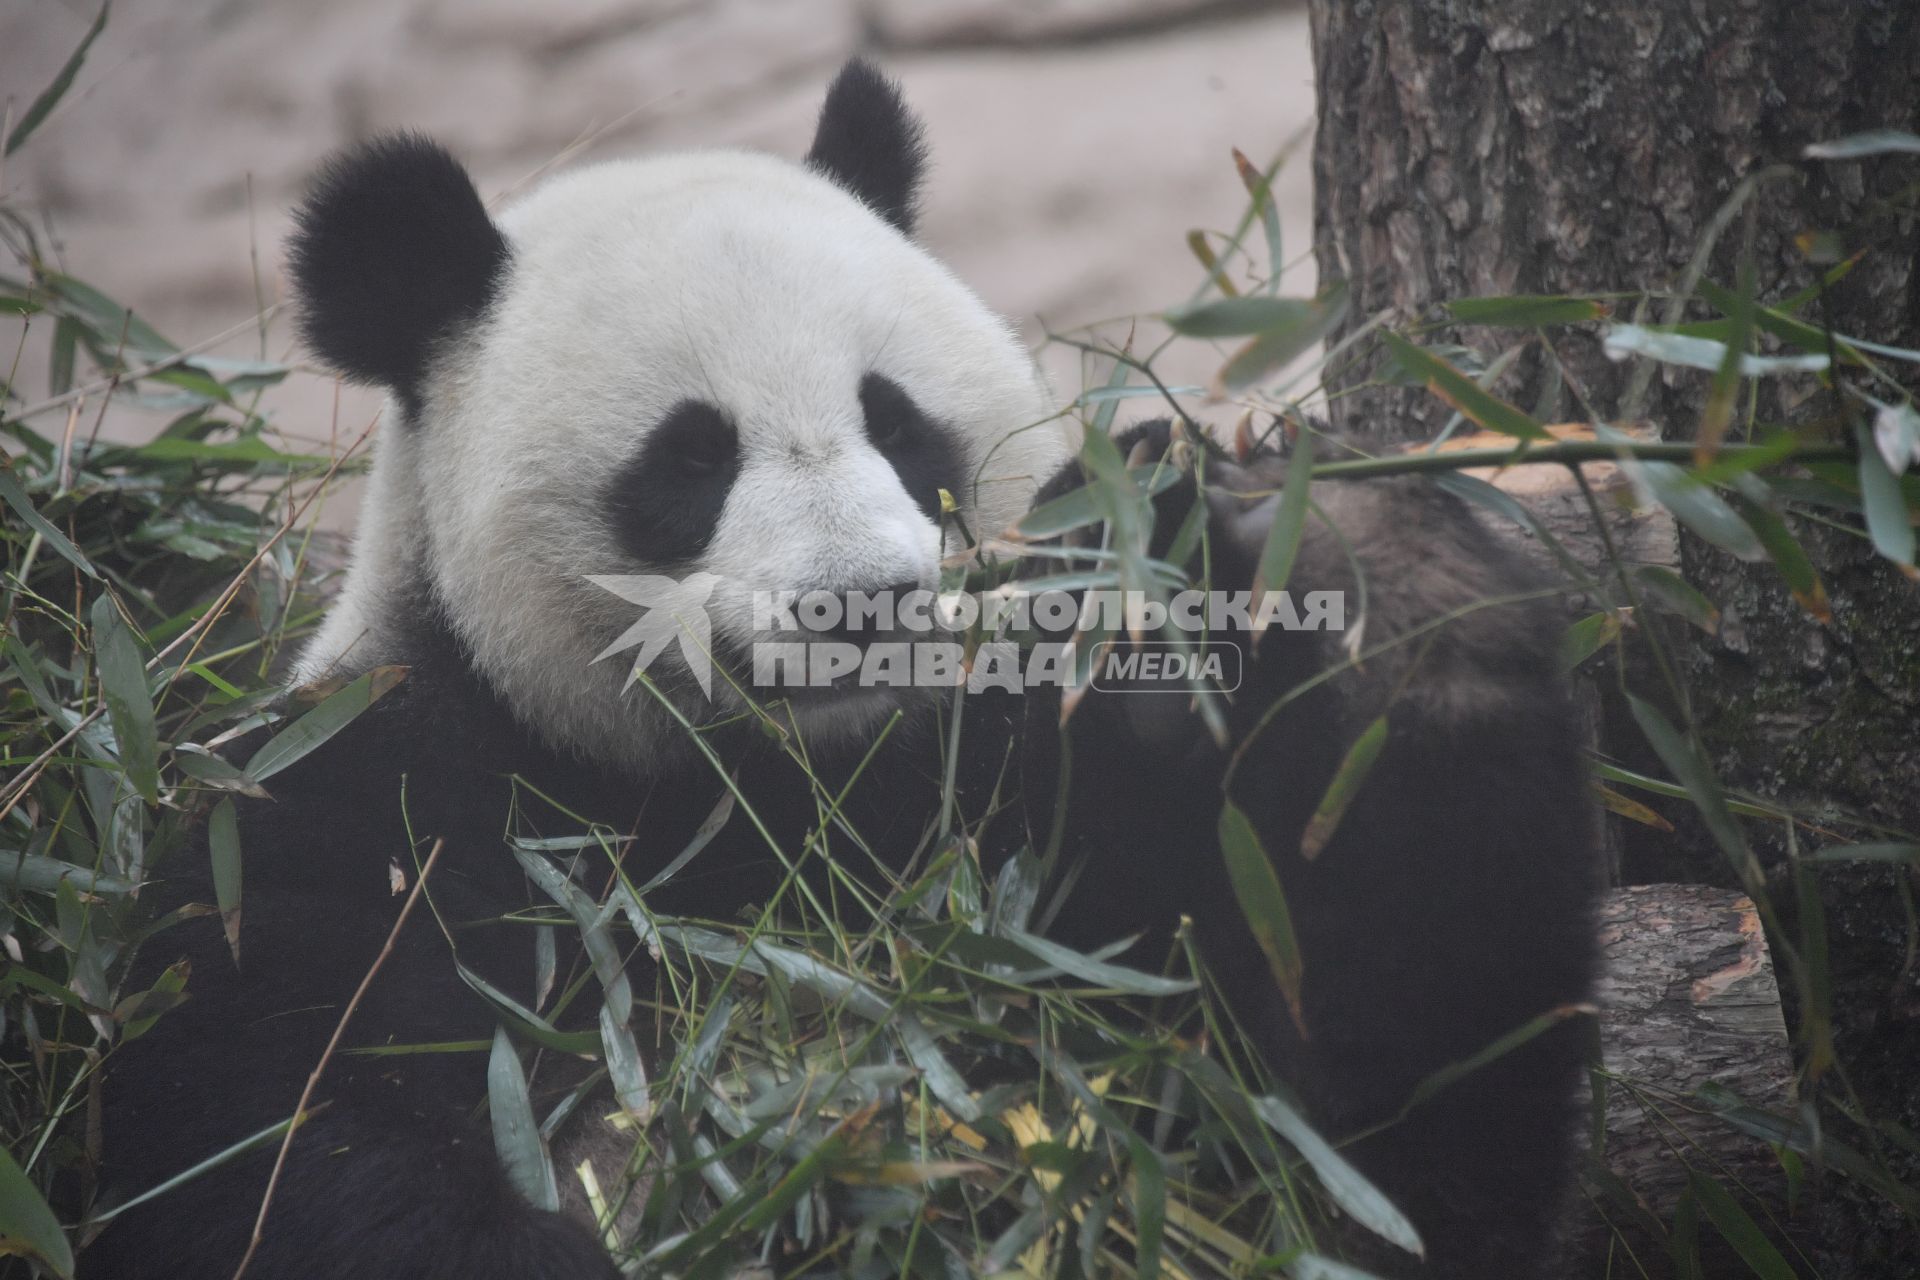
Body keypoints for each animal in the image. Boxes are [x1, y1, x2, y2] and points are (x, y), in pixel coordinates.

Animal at [86, 59, 1589, 1280]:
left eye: (898, 421)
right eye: (692, 456)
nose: (859, 601)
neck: (799, 788)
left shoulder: (1038, 814)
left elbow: (1359, 1122)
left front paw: (1356, 573)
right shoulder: (386, 795)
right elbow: (280, 1130)